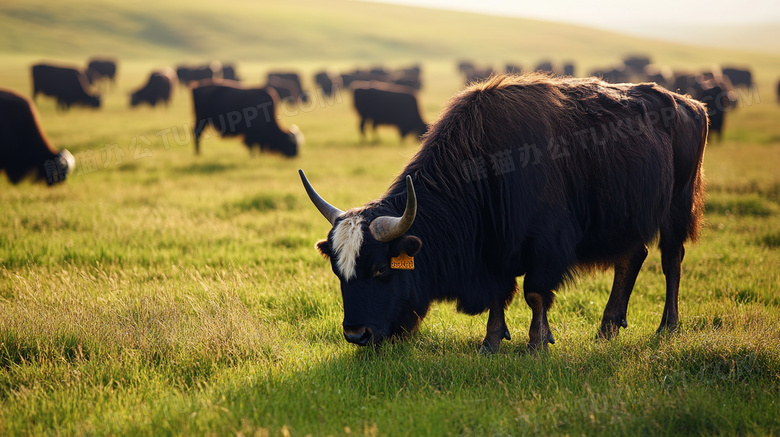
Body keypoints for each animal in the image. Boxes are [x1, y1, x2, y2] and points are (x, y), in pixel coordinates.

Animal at [302, 74, 708, 350]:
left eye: (381, 270)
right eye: (339, 272)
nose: (356, 334)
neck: (485, 168)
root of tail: (691, 105)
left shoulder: (545, 244)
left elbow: (535, 293)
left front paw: (537, 343)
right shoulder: (492, 249)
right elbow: (500, 294)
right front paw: (492, 341)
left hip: (676, 209)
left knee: (671, 260)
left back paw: (667, 326)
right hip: (628, 221)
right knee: (632, 258)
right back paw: (607, 328)